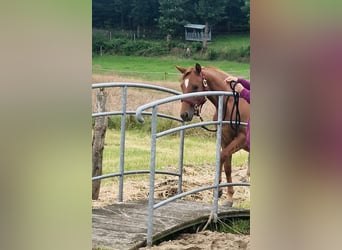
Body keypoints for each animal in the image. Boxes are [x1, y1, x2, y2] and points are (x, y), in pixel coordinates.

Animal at [176, 63, 248, 207]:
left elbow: (222, 156)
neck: (232, 103)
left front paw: (219, 190)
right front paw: (228, 197)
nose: (184, 114)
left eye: (195, 86)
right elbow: (227, 166)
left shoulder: (242, 139)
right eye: (182, 85)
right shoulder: (225, 140)